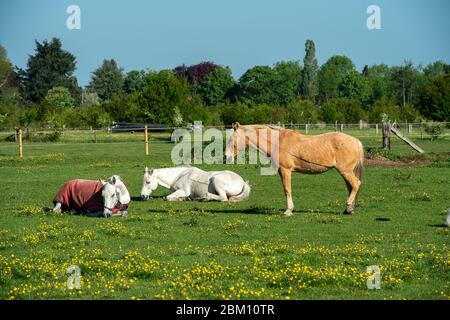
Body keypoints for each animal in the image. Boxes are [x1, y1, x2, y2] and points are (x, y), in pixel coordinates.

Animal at [223, 124, 364, 216]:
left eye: (231, 139)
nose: (226, 156)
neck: (277, 142)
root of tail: (356, 141)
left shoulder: (285, 170)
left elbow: (287, 190)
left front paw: (288, 210)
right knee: (351, 187)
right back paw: (349, 209)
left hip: (345, 171)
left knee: (356, 184)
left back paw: (348, 206)